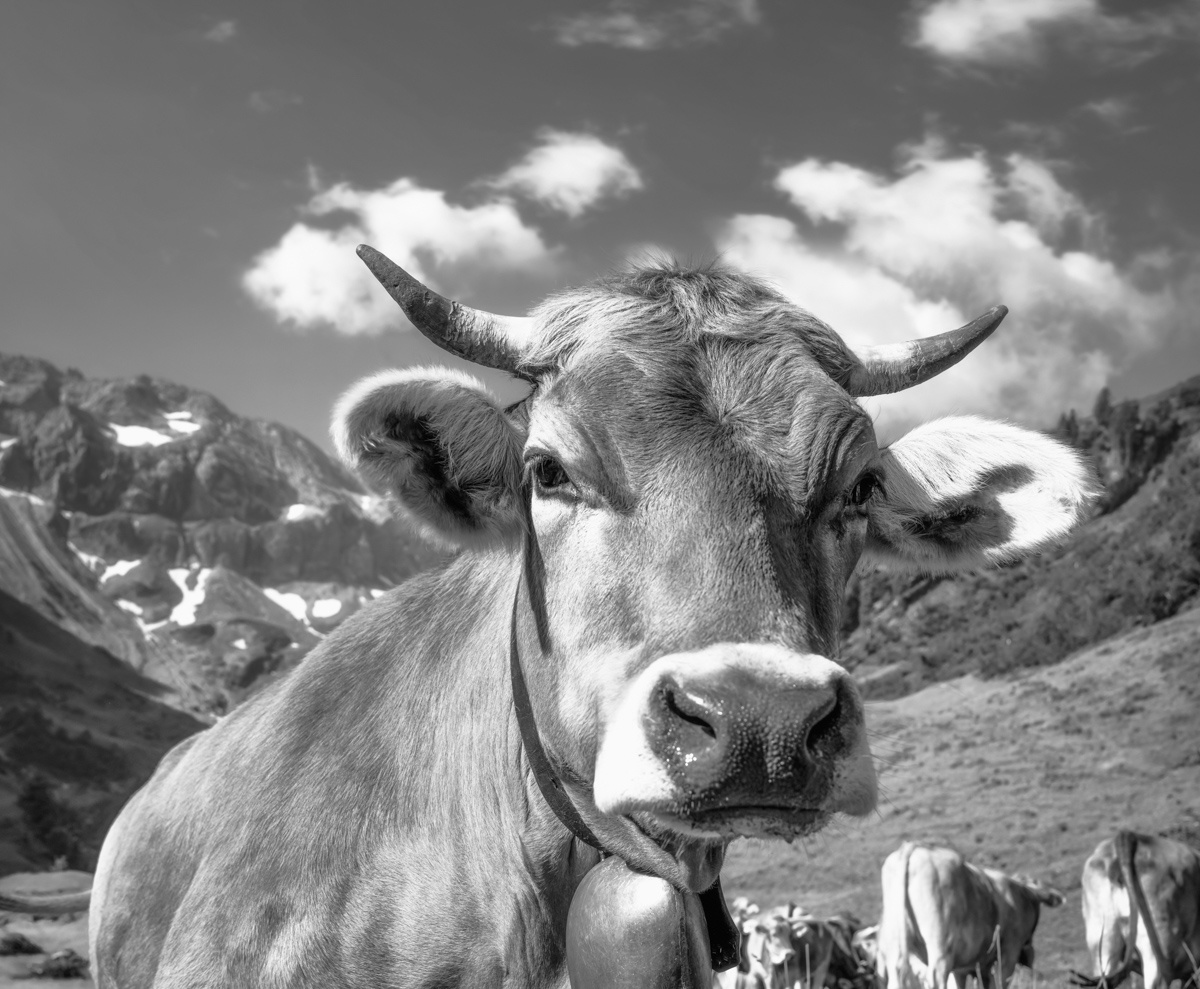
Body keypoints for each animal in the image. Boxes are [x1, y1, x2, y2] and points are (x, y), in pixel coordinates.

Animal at [876, 842, 1064, 989]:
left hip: (897, 942)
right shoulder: (1008, 954)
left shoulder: (966, 968)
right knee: (935, 976)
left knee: (897, 975)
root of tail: (915, 848)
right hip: (940, 944)